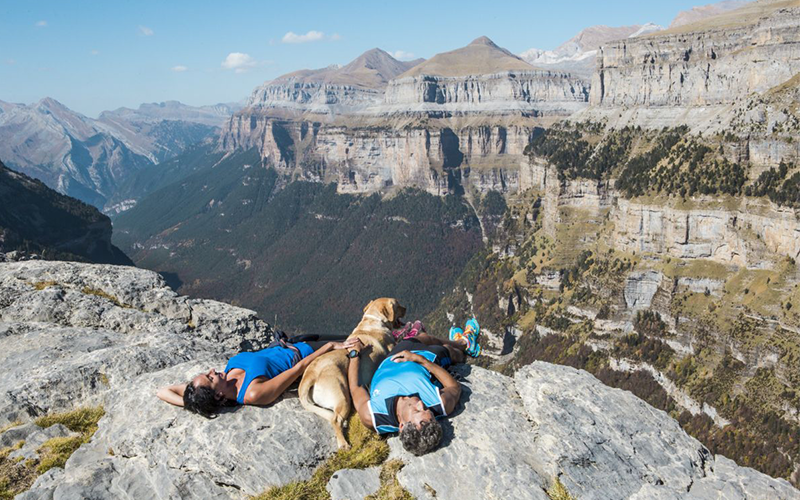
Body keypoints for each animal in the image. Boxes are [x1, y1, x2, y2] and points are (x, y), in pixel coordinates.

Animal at [296, 296, 404, 450]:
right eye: (398, 305)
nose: (405, 308)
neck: (373, 320)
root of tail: (310, 375)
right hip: (343, 396)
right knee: (335, 420)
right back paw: (343, 443)